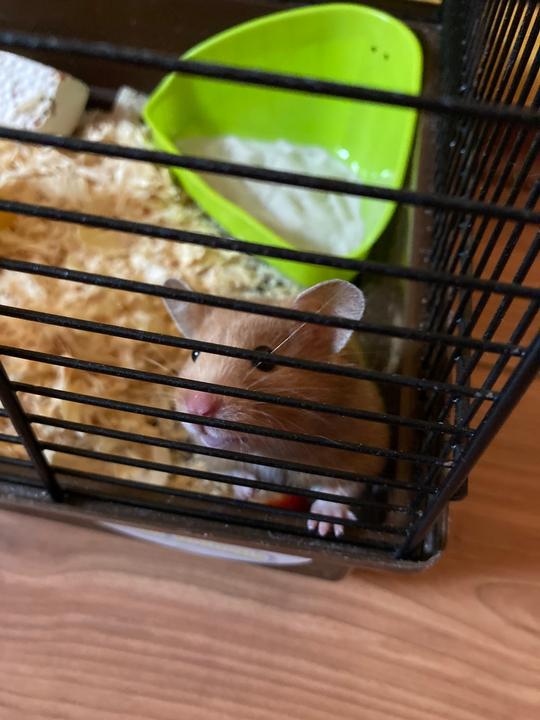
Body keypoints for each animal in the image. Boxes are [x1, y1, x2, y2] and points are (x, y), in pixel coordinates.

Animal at [163, 278, 389, 537]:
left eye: (264, 359)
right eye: (195, 353)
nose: (197, 409)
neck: (271, 450)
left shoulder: (360, 451)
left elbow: (339, 489)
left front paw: (325, 527)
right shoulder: (215, 458)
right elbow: (233, 471)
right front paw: (247, 493)